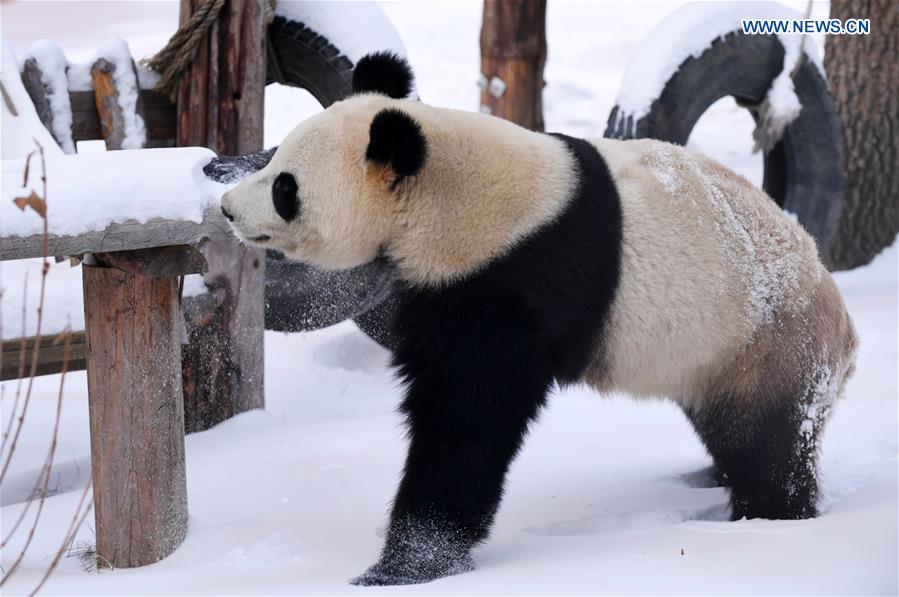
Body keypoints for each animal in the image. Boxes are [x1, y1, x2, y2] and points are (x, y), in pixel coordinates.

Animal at [219, 52, 858, 585]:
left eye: (285, 187)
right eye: (274, 158)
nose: (226, 209)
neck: (447, 186)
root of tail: (845, 332)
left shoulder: (512, 273)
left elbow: (468, 415)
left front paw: (407, 563)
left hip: (762, 343)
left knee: (767, 447)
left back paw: (768, 518)